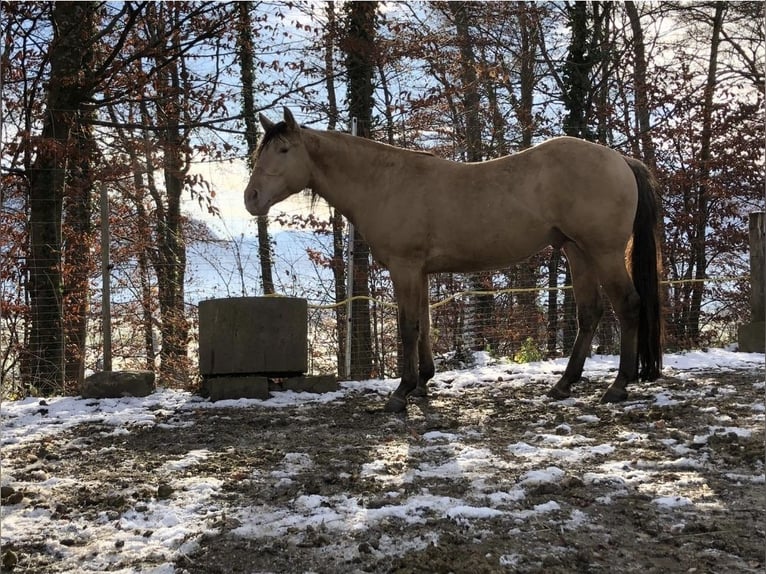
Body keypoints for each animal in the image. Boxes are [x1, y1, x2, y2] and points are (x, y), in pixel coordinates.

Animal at [244, 107, 663, 413]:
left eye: (283, 151)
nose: (251, 198)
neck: (384, 182)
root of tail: (620, 160)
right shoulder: (421, 272)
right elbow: (424, 325)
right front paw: (422, 385)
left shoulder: (405, 268)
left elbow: (408, 327)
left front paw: (401, 393)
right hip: (578, 252)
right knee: (589, 313)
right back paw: (564, 385)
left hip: (604, 253)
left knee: (628, 305)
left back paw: (618, 386)